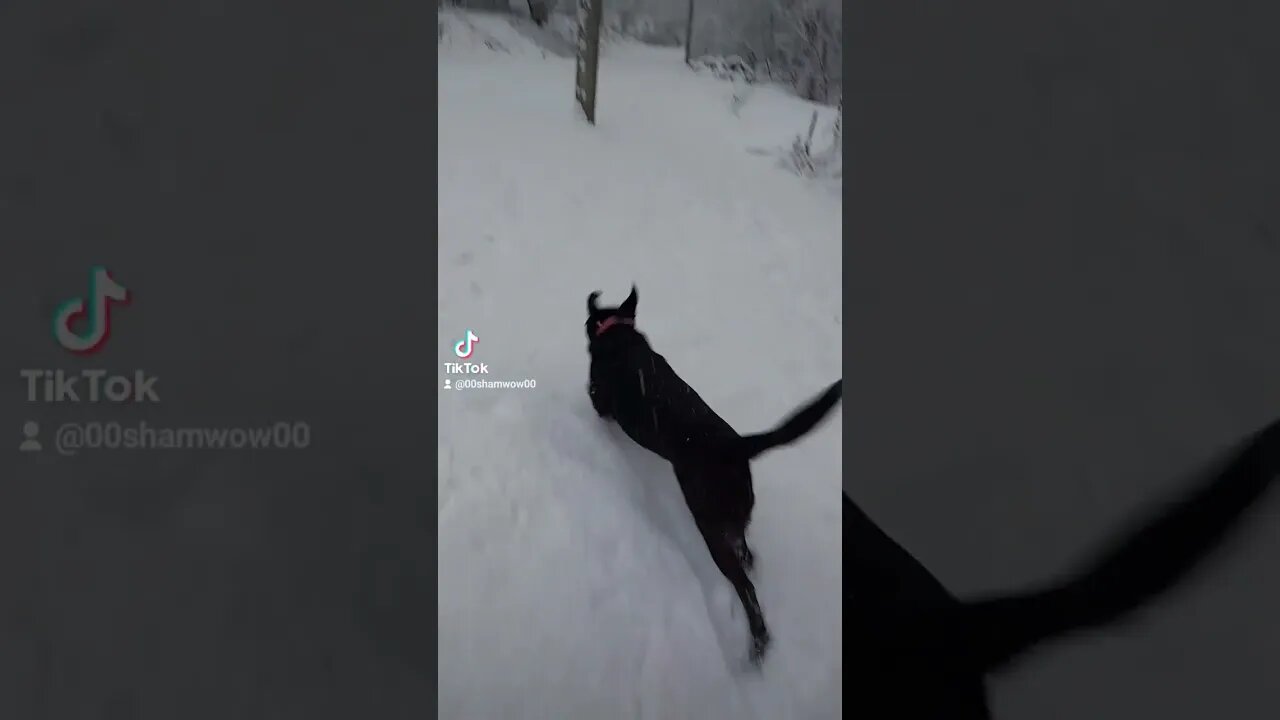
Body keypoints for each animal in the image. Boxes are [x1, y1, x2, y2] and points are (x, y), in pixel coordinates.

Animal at [586, 284, 844, 661]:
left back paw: (758, 644)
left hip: (712, 527)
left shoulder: (599, 399)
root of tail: (739, 446)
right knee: (747, 555)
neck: (617, 334)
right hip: (734, 519)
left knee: (746, 588)